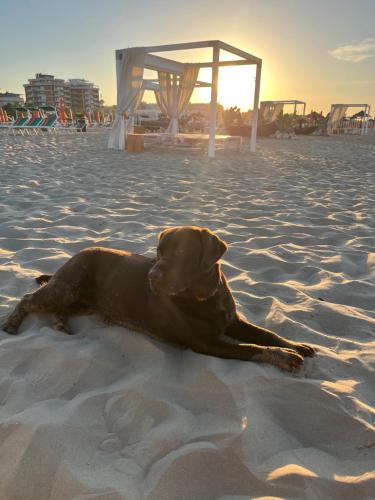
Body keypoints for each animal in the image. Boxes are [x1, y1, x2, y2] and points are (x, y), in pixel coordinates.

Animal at [2, 227, 314, 372]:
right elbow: (251, 348)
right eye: (158, 251)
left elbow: (267, 334)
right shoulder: (207, 344)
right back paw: (12, 324)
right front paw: (284, 356)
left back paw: (60, 325)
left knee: (57, 309)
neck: (205, 296)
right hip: (66, 288)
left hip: (76, 299)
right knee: (28, 298)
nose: (152, 275)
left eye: (182, 252)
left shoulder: (233, 322)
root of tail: (75, 255)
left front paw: (294, 345)